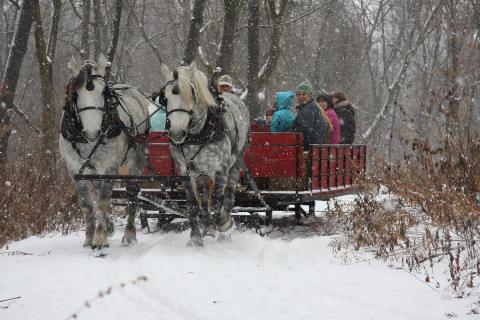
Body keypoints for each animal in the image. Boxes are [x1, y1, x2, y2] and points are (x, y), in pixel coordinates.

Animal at [59, 55, 154, 252]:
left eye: (104, 92)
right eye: (75, 94)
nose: (93, 132)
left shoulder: (109, 167)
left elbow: (102, 201)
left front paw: (100, 239)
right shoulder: (75, 171)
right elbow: (87, 205)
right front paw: (90, 237)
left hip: (135, 158)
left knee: (132, 194)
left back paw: (129, 234)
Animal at [162, 63, 251, 248]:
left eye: (192, 93)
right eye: (165, 98)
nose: (176, 132)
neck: (199, 132)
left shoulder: (221, 168)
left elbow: (217, 198)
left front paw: (223, 225)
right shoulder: (184, 169)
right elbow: (193, 202)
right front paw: (196, 237)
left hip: (236, 161)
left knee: (229, 194)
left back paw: (223, 227)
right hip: (201, 170)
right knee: (204, 195)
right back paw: (208, 227)